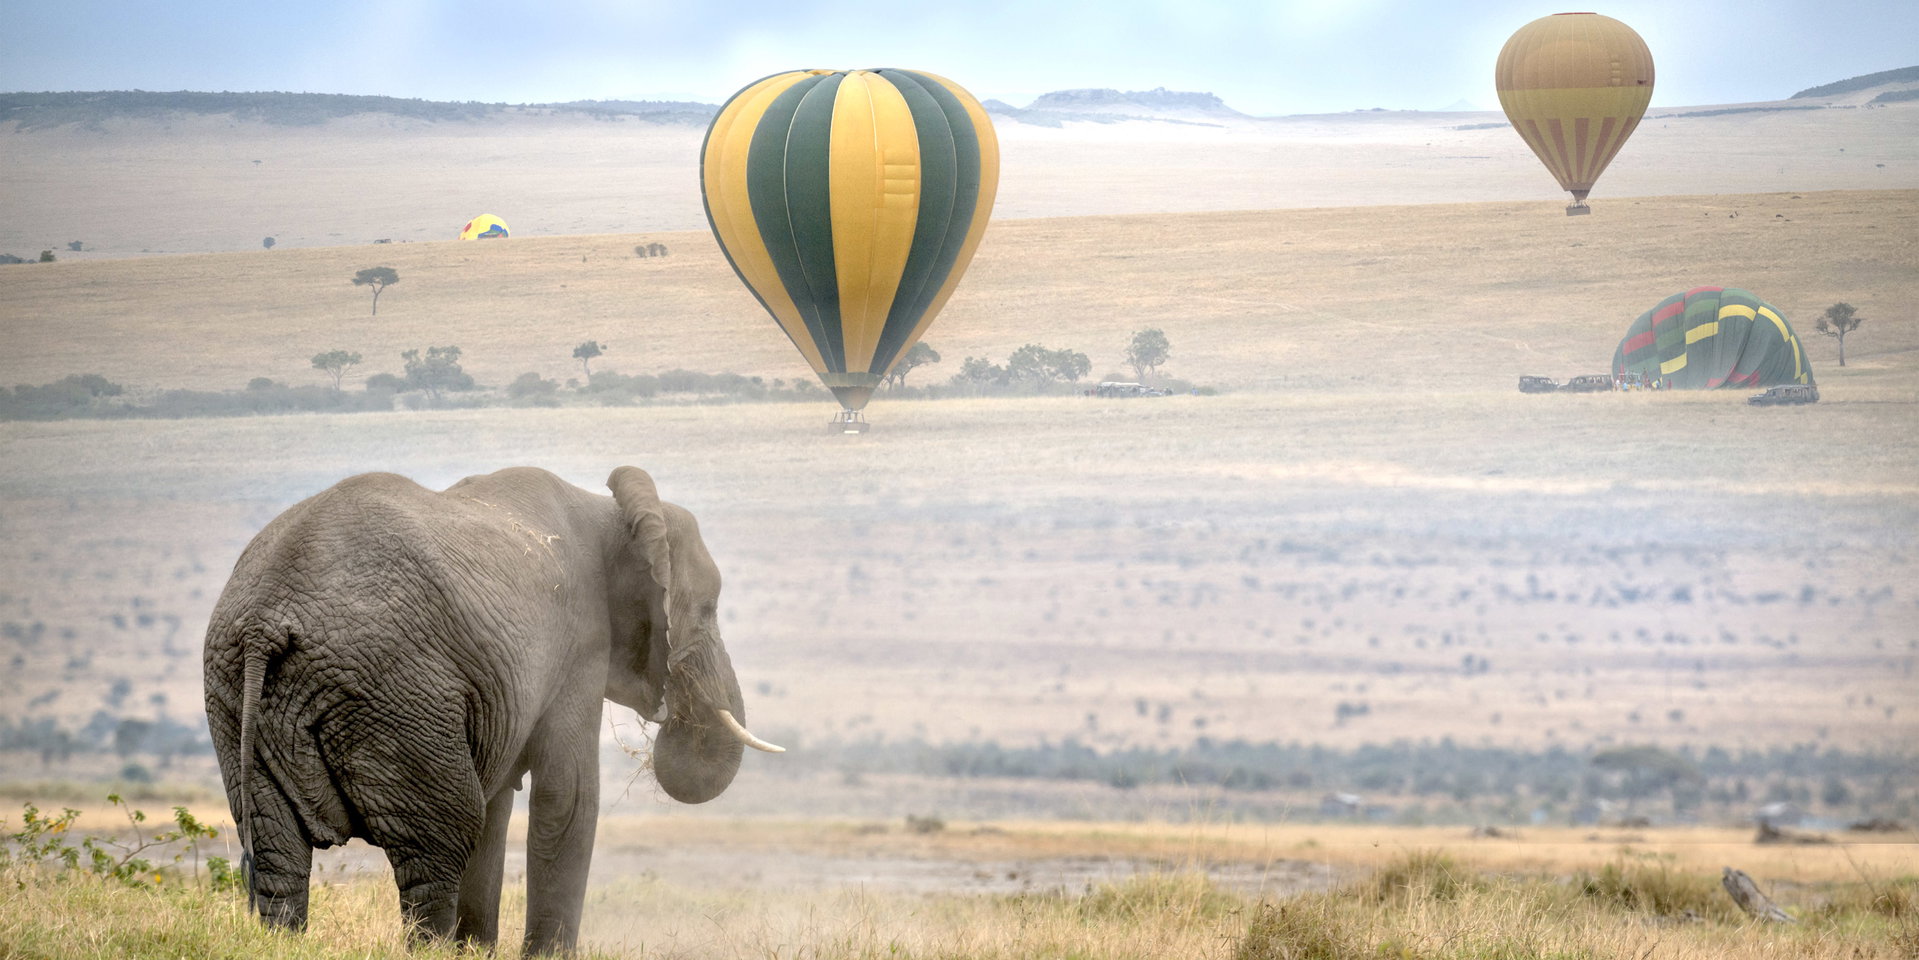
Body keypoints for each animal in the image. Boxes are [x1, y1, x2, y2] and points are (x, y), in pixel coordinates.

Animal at [202, 465, 781, 954]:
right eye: (708, 608)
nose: (673, 710)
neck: (611, 510)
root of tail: (265, 620)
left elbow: (499, 802)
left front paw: (476, 951)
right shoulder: (579, 646)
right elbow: (567, 798)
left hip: (234, 698)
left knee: (278, 854)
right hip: (395, 692)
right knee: (441, 840)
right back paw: (431, 948)